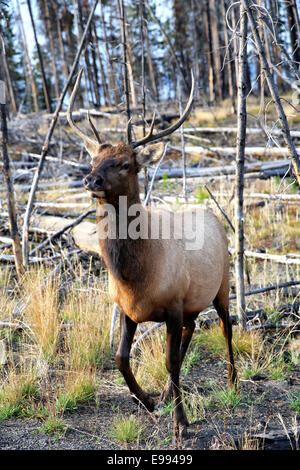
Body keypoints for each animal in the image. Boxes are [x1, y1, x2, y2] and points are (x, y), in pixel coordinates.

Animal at [68, 70, 237, 440]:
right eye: (92, 159)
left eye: (125, 164)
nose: (91, 180)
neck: (134, 278)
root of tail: (212, 215)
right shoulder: (127, 309)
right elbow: (120, 357)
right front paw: (146, 400)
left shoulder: (172, 305)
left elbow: (168, 361)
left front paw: (180, 423)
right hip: (191, 303)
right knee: (192, 328)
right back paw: (165, 392)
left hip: (223, 285)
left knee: (225, 327)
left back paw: (233, 380)